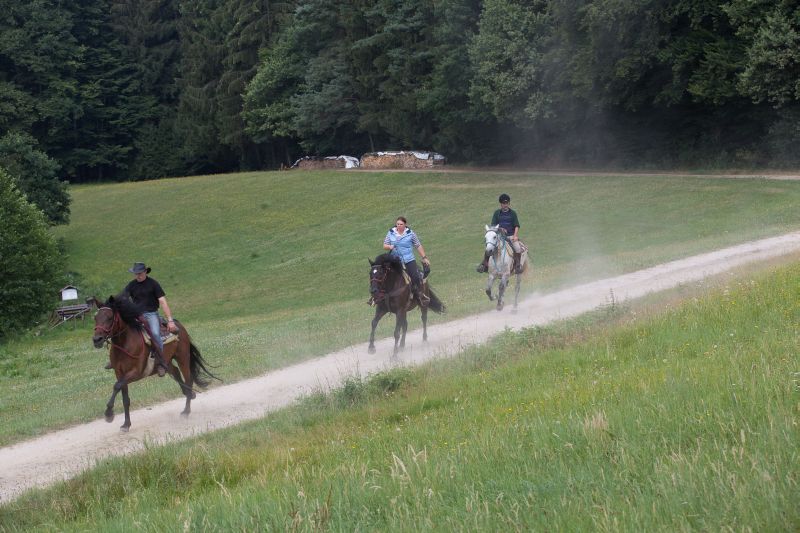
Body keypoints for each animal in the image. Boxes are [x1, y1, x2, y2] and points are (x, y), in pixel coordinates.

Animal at [90, 296, 219, 432]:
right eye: (95, 318)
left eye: (110, 318)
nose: (97, 339)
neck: (125, 344)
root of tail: (179, 326)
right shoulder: (119, 373)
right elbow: (125, 399)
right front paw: (126, 424)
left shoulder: (135, 372)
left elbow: (116, 386)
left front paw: (109, 413)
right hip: (167, 361)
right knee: (176, 372)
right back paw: (188, 394)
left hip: (183, 358)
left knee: (188, 379)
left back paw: (186, 410)